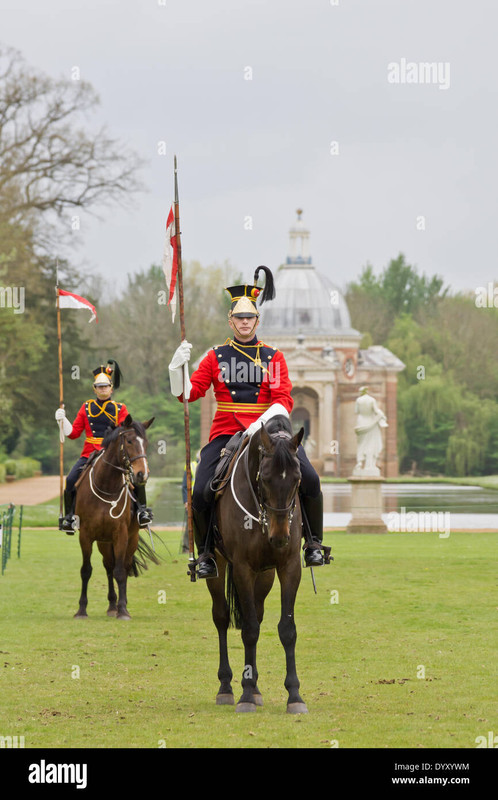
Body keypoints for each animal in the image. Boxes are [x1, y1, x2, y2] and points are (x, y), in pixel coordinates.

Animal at [72, 416, 156, 620]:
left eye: (146, 443)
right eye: (129, 441)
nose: (142, 475)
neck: (106, 485)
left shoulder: (121, 535)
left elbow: (120, 572)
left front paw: (123, 610)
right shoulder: (85, 536)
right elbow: (86, 570)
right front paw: (81, 610)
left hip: (130, 539)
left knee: (122, 567)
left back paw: (118, 605)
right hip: (104, 541)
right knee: (108, 566)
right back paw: (111, 605)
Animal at [205, 416, 308, 716]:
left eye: (298, 479)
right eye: (266, 477)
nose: (280, 536)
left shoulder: (288, 567)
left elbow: (287, 629)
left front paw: (294, 695)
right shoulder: (242, 567)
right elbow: (249, 630)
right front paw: (247, 695)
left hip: (265, 575)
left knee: (258, 615)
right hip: (218, 564)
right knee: (222, 617)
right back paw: (227, 687)